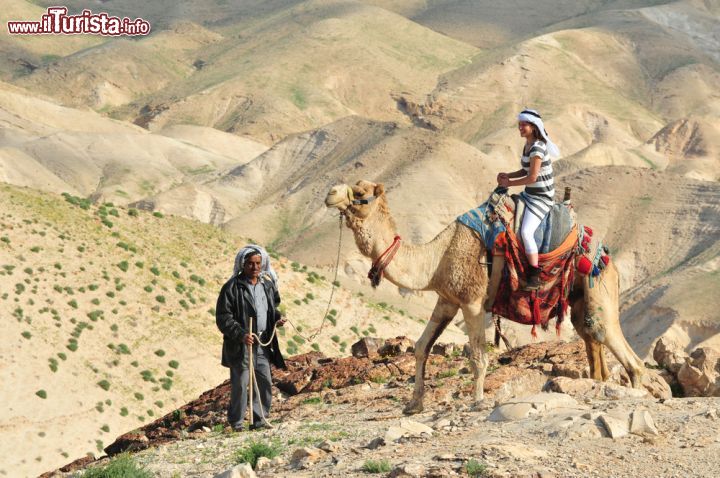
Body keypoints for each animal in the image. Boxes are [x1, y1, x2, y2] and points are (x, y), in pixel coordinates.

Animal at [324, 179, 644, 414]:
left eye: (360, 192)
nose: (329, 194)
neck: (437, 257)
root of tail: (605, 255)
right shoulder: (447, 300)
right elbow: (421, 346)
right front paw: (413, 404)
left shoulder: (472, 300)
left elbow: (478, 355)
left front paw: (477, 401)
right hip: (580, 299)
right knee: (591, 337)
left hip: (598, 287)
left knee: (625, 353)